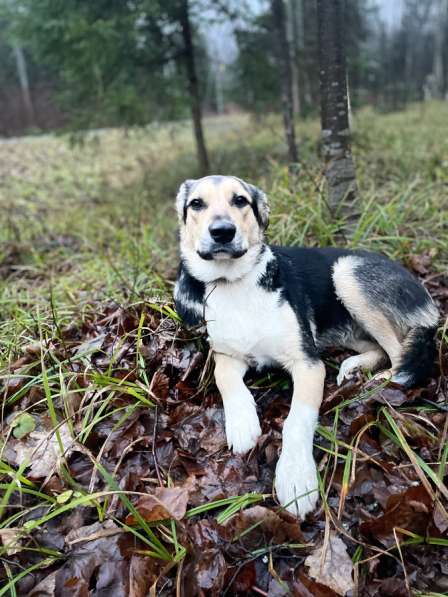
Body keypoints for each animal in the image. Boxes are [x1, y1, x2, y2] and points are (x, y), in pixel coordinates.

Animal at [173, 176, 440, 516]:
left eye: (240, 200)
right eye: (196, 204)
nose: (222, 231)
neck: (235, 283)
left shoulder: (308, 363)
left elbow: (297, 420)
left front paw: (296, 478)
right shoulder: (225, 355)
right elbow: (226, 380)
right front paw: (242, 423)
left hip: (346, 273)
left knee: (399, 354)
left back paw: (378, 385)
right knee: (381, 350)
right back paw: (354, 368)